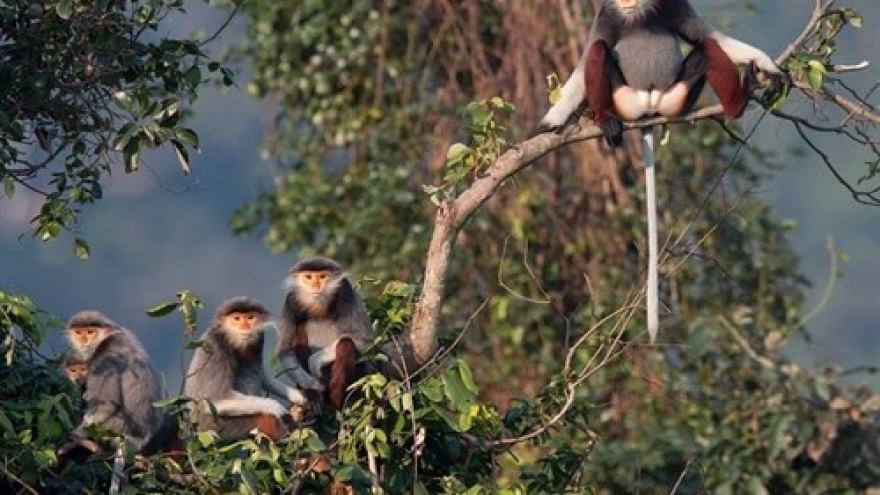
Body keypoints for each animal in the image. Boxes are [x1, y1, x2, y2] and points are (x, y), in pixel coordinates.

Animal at [180, 296, 304, 444]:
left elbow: (263, 376)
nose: (245, 327)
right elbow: (217, 399)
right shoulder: (215, 346)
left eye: (250, 317)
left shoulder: (258, 340)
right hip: (212, 429)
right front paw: (275, 406)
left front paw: (299, 396)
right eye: (237, 318)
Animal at [532, 0, 780, 342]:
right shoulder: (606, 15)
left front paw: (769, 66)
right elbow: (583, 67)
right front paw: (551, 121)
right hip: (624, 101)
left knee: (707, 46)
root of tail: (649, 111)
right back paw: (605, 119)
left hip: (675, 98)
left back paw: (736, 104)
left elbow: (711, 36)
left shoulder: (675, 5)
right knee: (598, 51)